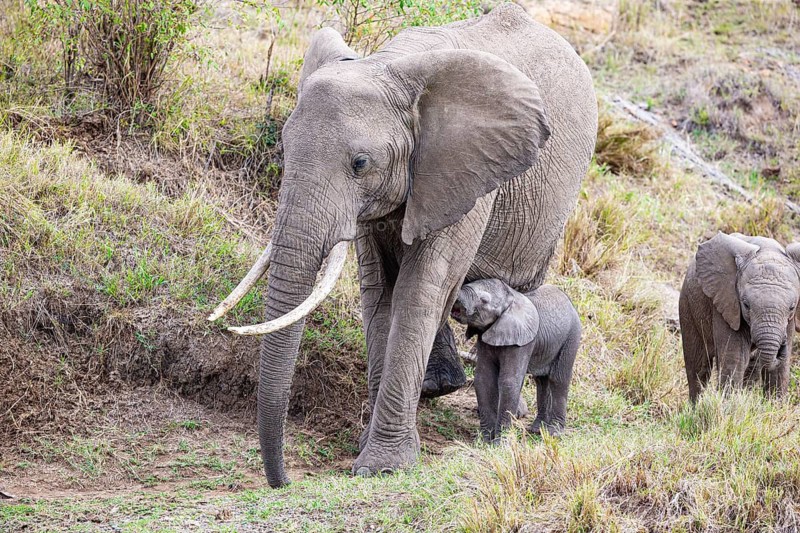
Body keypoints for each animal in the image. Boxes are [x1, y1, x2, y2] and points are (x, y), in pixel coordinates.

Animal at [451, 280, 580, 440]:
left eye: (484, 300)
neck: (511, 298)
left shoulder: (522, 341)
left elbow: (509, 381)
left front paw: (499, 442)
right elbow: (483, 379)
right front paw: (484, 440)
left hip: (571, 336)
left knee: (558, 379)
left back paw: (553, 432)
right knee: (542, 381)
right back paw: (537, 429)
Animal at [679, 232, 800, 402]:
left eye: (791, 307)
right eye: (746, 304)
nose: (782, 344)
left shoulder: (789, 321)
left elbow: (780, 369)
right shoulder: (727, 302)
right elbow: (735, 358)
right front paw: (729, 405)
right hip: (688, 304)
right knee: (698, 366)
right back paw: (695, 406)